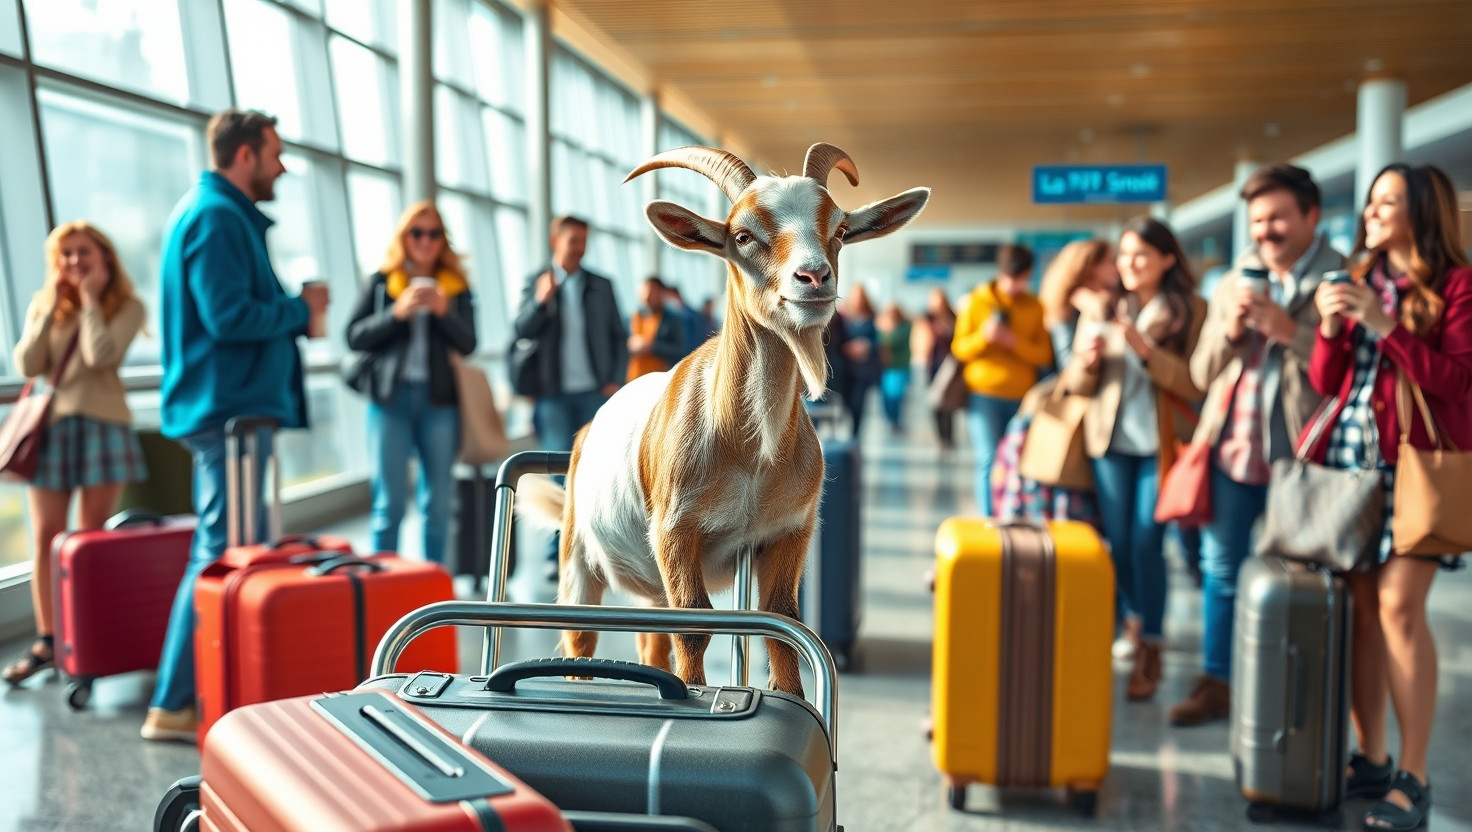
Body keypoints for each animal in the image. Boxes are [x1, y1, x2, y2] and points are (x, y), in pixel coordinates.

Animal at [517, 144, 929, 696]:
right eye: (743, 235)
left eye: (840, 229)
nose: (814, 278)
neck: (751, 451)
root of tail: (586, 430)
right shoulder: (676, 530)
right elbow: (695, 627)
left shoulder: (790, 531)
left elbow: (783, 625)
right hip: (579, 558)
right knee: (581, 638)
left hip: (652, 586)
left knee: (652, 642)